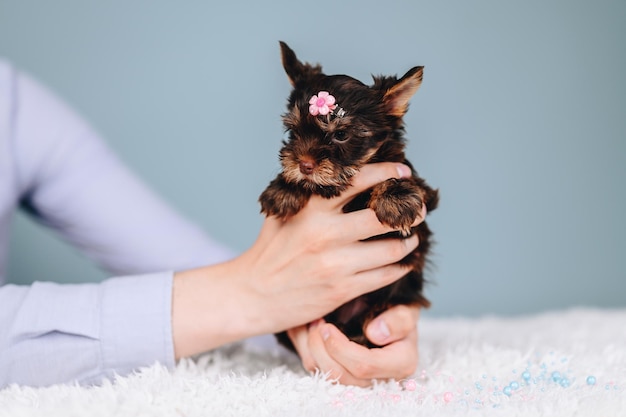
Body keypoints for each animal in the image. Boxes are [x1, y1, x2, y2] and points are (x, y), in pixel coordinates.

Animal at [258, 41, 438, 348]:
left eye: (341, 135)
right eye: (293, 130)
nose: (304, 164)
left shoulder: (421, 211)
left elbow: (401, 184)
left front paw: (396, 198)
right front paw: (284, 189)